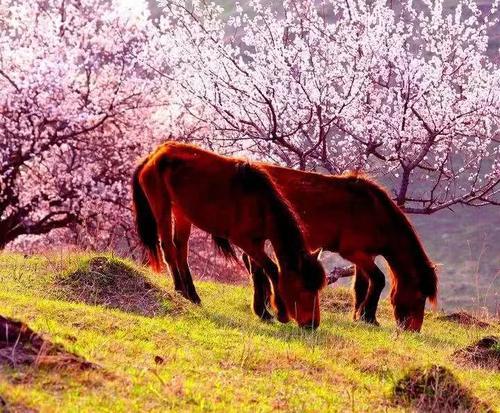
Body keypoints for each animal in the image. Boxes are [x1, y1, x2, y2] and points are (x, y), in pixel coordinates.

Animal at [133, 142, 326, 328]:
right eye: (303, 288)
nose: (312, 324)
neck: (259, 204)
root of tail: (153, 156)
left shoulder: (257, 242)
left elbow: (258, 271)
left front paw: (262, 312)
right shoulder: (244, 241)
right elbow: (271, 269)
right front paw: (281, 312)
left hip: (182, 213)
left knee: (180, 248)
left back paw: (192, 295)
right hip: (162, 206)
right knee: (168, 247)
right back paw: (180, 289)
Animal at [245, 164, 438, 332]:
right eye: (420, 296)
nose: (414, 330)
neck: (375, 214)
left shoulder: (366, 255)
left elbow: (361, 286)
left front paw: (358, 316)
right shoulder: (353, 253)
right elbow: (378, 279)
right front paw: (369, 317)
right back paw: (263, 312)